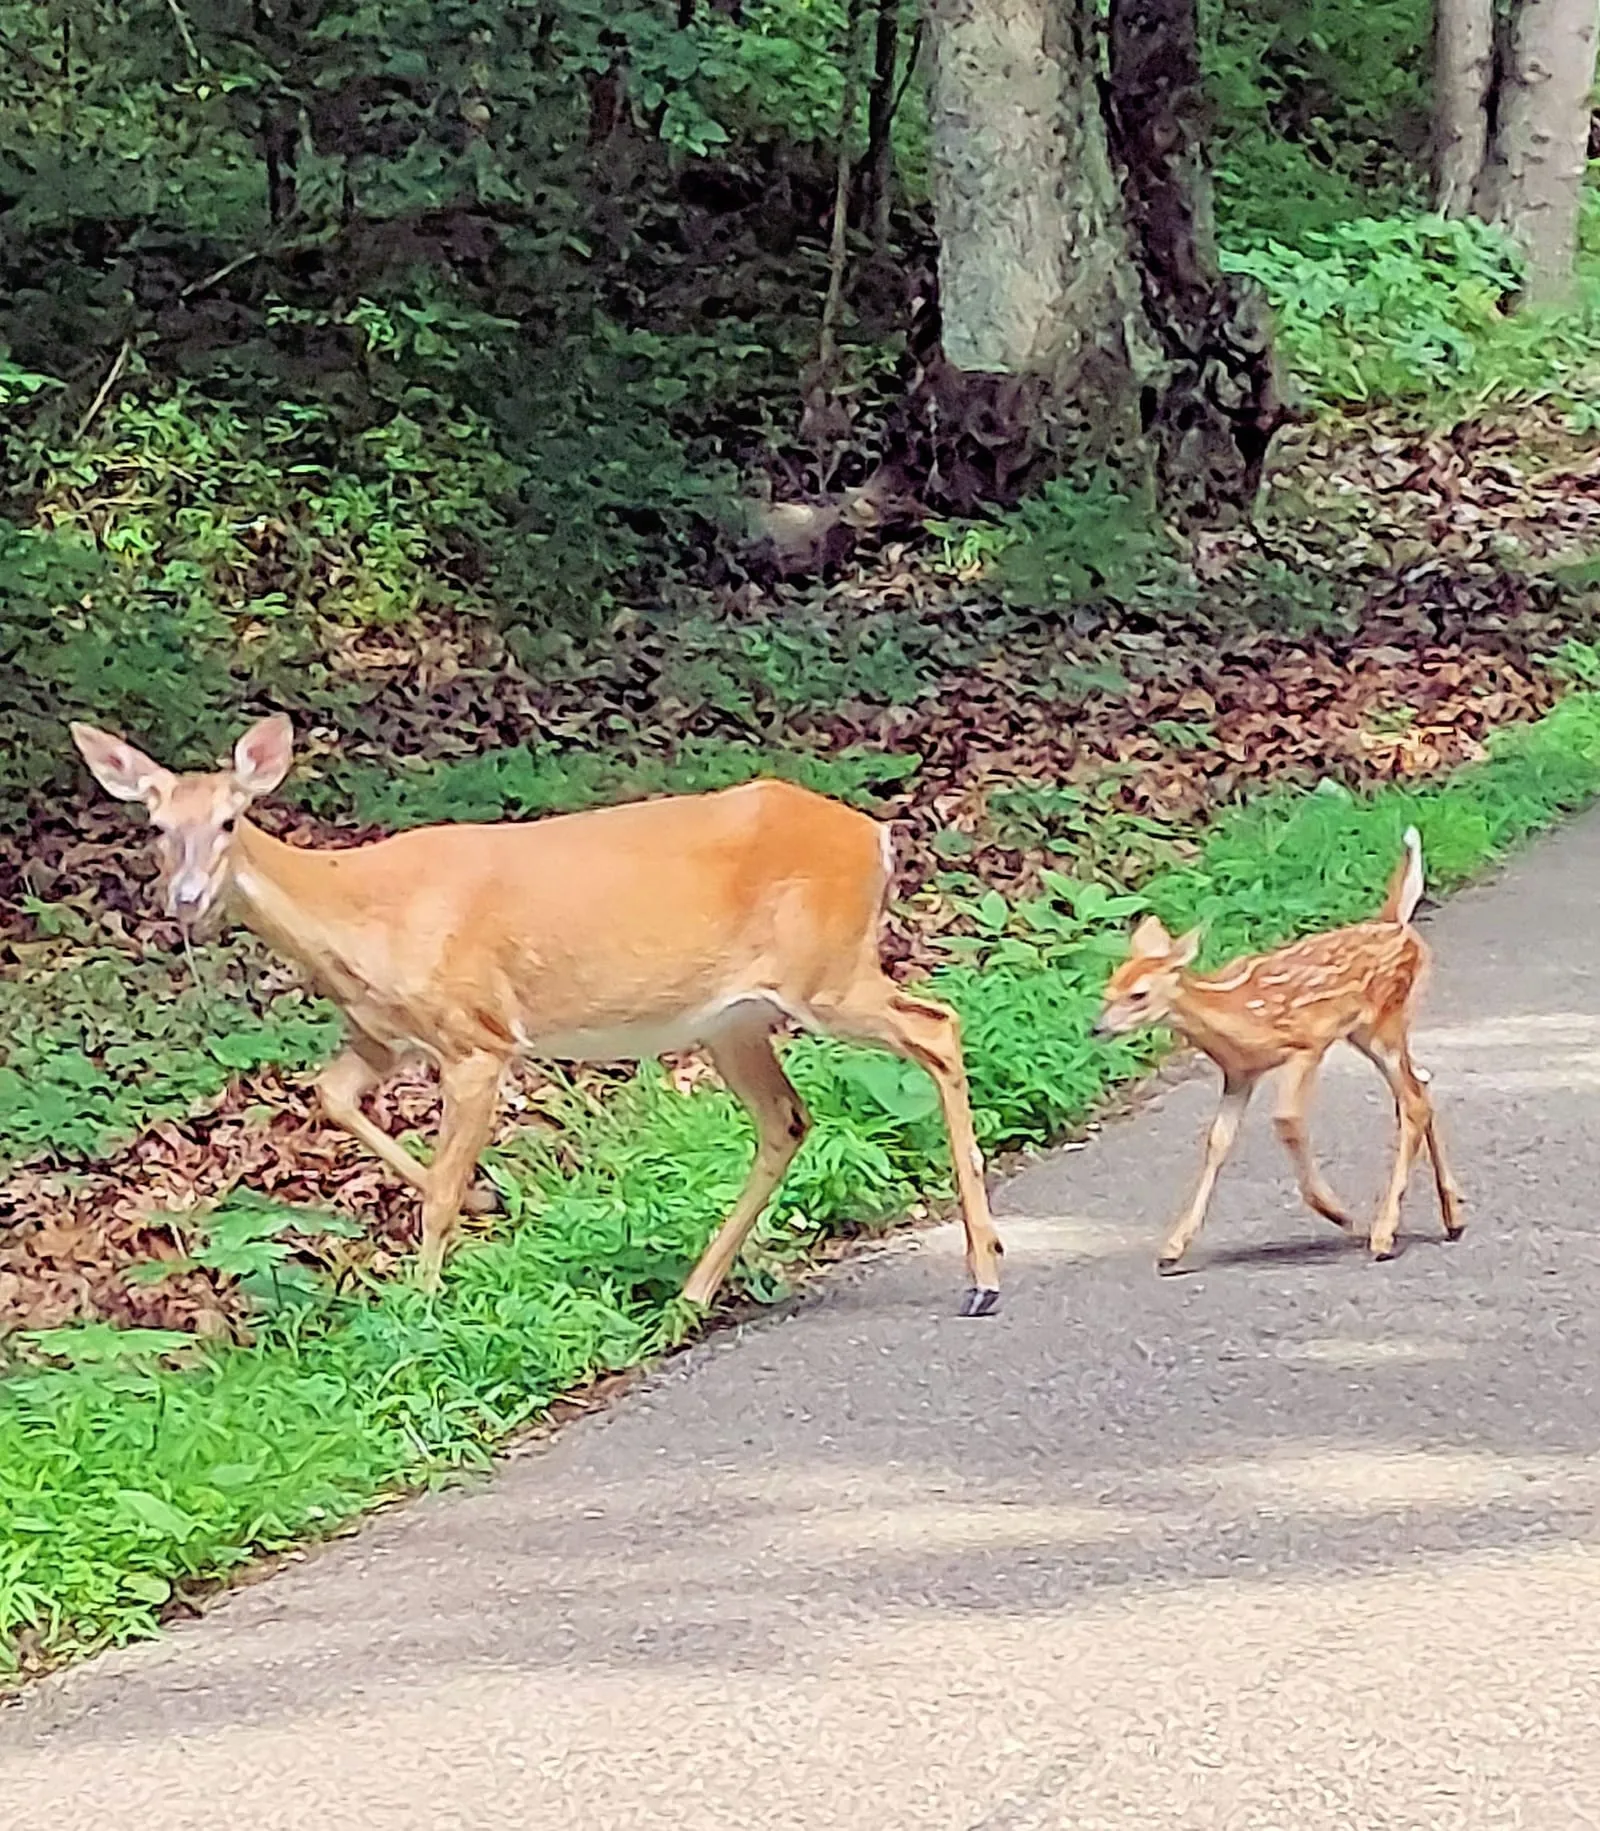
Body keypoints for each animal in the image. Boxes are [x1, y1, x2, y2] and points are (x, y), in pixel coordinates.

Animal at [69, 715, 1004, 1315]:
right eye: (156, 825)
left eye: (231, 820)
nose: (186, 898)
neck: (360, 916)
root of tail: (876, 836)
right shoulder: (381, 1035)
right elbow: (331, 1096)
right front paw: (491, 1203)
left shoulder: (477, 1035)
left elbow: (440, 1190)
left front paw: (424, 1303)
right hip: (732, 1015)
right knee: (788, 1117)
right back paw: (692, 1293)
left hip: (828, 972)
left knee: (939, 1025)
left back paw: (984, 1273)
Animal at [1094, 828, 1463, 1272]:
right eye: (1108, 990)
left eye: (1139, 995)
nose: (1097, 1027)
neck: (1236, 1014)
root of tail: (1394, 921)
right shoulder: (1239, 1074)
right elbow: (1217, 1141)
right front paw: (1174, 1246)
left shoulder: (1306, 1042)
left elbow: (1286, 1119)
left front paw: (1341, 1214)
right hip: (1369, 1032)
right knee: (1421, 1085)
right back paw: (1452, 1216)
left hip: (1385, 1024)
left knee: (1413, 1102)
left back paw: (1384, 1233)